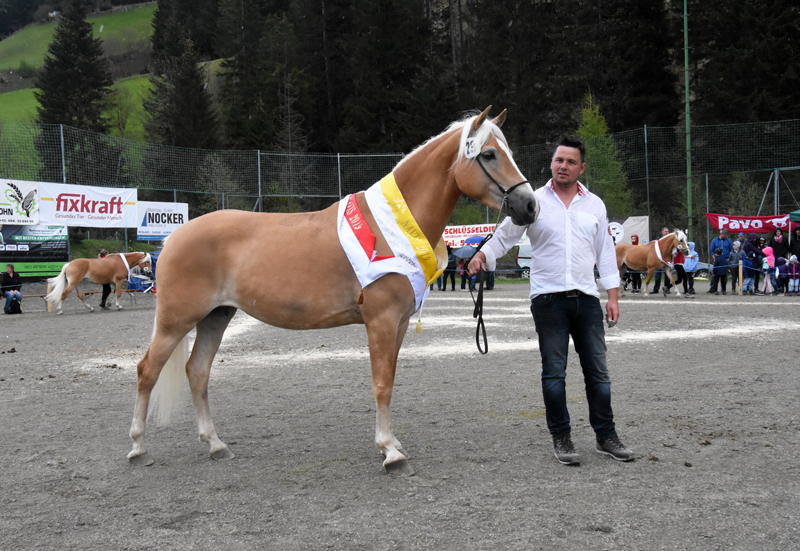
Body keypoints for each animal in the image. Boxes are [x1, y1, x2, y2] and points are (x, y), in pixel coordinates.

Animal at [126, 105, 536, 476]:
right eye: (488, 154)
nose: (529, 205)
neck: (391, 225)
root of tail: (174, 237)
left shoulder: (400, 323)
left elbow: (390, 379)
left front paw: (392, 443)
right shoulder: (381, 321)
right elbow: (382, 384)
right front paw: (390, 452)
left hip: (216, 317)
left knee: (197, 372)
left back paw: (215, 445)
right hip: (176, 321)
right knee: (148, 371)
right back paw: (138, 449)